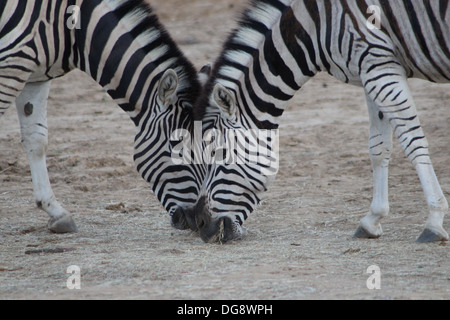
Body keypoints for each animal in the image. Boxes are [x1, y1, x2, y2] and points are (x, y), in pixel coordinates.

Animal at [0, 0, 206, 234]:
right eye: (176, 146)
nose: (194, 220)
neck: (73, 28)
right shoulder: (11, 65)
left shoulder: (36, 77)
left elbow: (36, 140)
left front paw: (56, 212)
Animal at [189, 0, 450, 244]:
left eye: (219, 154)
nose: (200, 224)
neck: (315, 28)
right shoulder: (370, 71)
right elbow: (378, 148)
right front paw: (372, 219)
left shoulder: (379, 63)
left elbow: (412, 141)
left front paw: (434, 220)